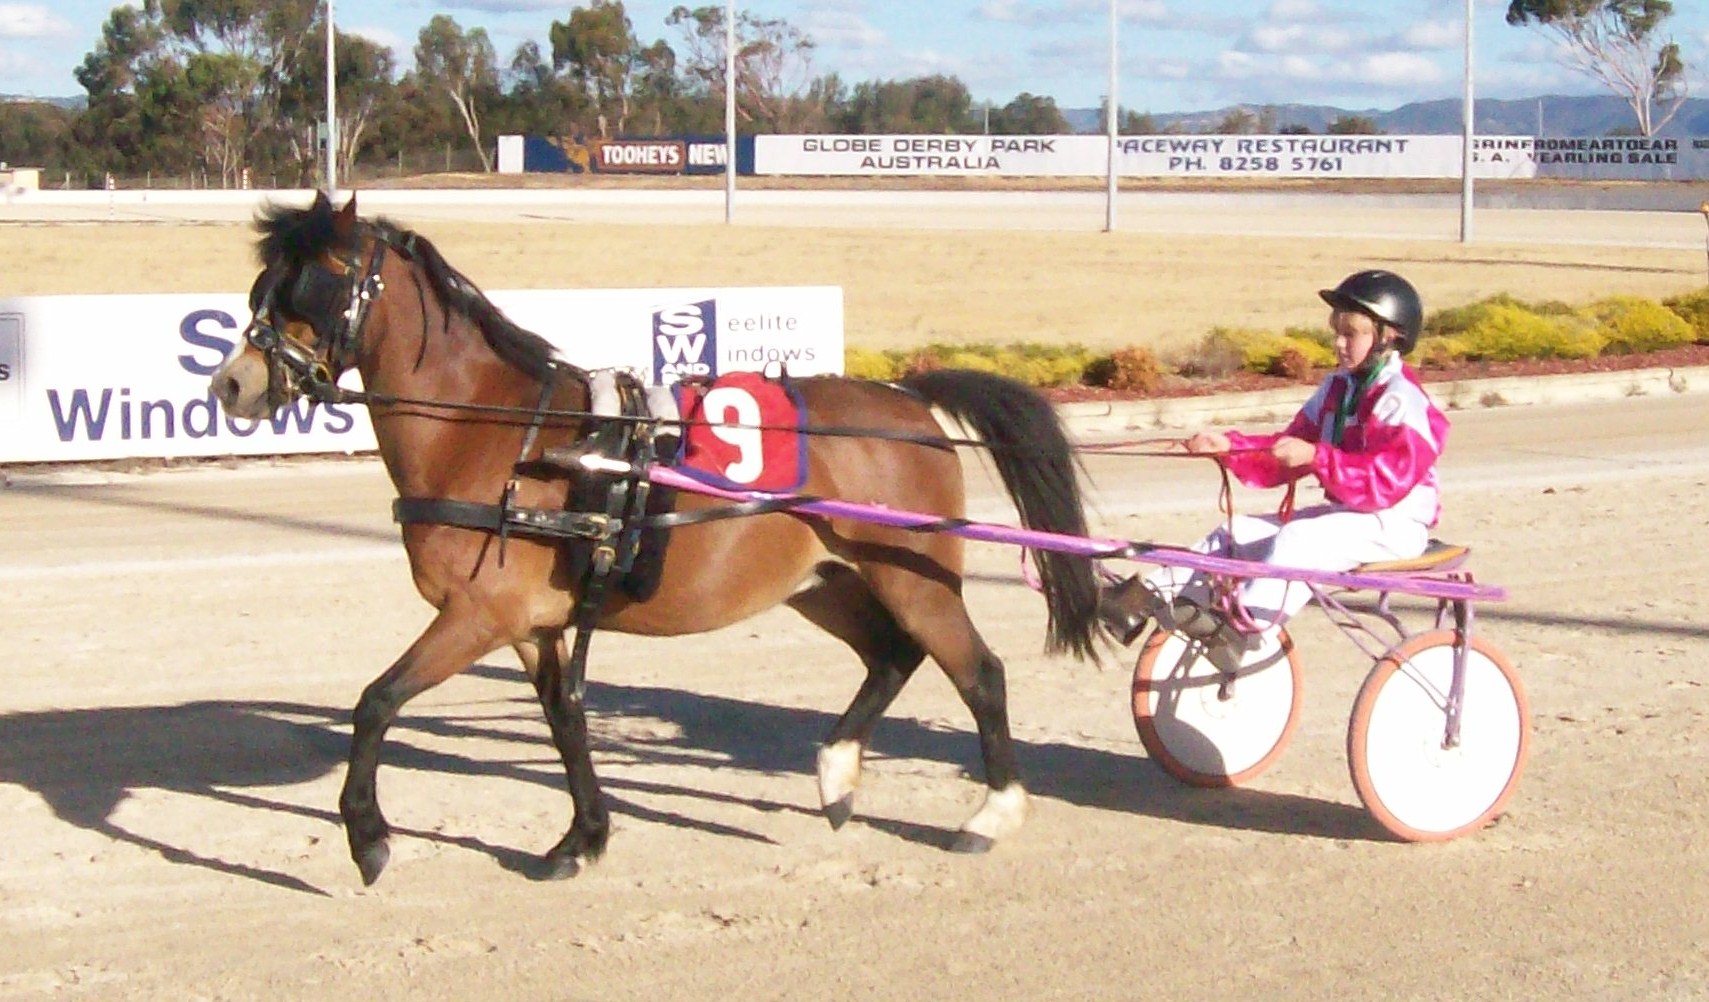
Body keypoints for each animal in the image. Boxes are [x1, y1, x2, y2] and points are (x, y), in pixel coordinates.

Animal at [210, 192, 1104, 885]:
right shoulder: (533, 624)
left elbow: (375, 702)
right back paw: (836, 776)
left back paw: (990, 814)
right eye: (263, 285)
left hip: (913, 576)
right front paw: (582, 838)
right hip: (827, 582)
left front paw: (367, 837)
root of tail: (907, 398)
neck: (496, 432)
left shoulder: (479, 615)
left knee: (978, 674)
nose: (231, 384)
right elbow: (563, 721)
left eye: (316, 284)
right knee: (891, 656)